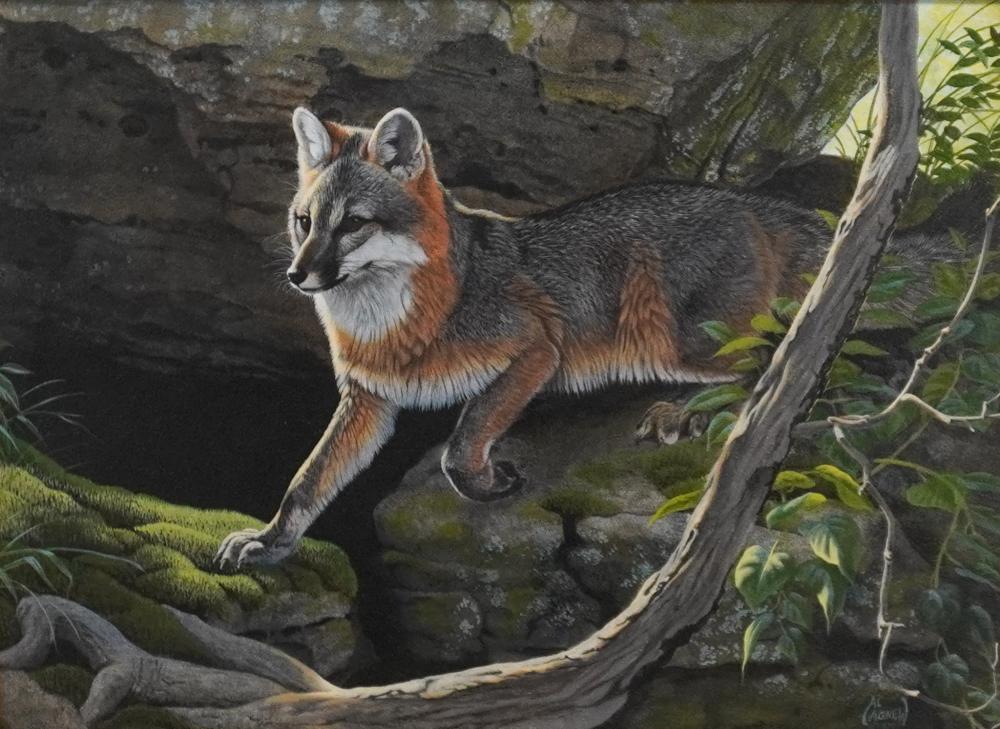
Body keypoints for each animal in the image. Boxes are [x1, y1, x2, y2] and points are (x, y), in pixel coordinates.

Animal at [214, 105, 932, 568]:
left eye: (353, 224)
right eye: (305, 221)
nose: (298, 274)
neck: (393, 325)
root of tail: (756, 202)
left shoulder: (536, 349)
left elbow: (460, 443)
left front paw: (482, 480)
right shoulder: (369, 400)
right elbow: (308, 482)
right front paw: (271, 541)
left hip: (679, 341)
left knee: (787, 360)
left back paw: (687, 411)